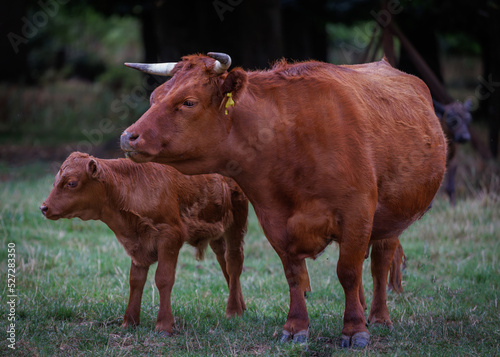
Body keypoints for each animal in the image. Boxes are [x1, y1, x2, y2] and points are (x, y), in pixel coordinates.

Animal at [39, 152, 248, 336]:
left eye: (71, 183)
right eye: (55, 181)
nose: (43, 207)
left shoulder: (170, 236)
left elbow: (163, 279)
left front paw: (163, 325)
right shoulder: (136, 245)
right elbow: (136, 281)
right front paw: (129, 322)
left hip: (236, 223)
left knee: (234, 261)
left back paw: (233, 310)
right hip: (217, 231)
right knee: (224, 262)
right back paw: (241, 305)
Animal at [120, 53, 446, 348]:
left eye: (188, 102)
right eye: (154, 97)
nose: (128, 137)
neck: (291, 140)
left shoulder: (357, 215)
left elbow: (348, 272)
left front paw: (354, 330)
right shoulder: (274, 220)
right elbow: (294, 275)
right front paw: (296, 327)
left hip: (391, 219)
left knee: (380, 264)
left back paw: (378, 317)